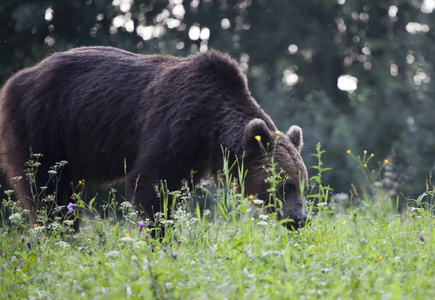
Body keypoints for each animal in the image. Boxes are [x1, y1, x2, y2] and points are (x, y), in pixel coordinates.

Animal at [0, 46, 310, 230]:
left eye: (303, 185)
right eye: (284, 185)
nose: (300, 218)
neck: (211, 129)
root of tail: (15, 79)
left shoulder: (194, 156)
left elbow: (175, 189)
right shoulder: (174, 124)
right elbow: (152, 184)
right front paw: (162, 235)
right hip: (43, 126)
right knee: (46, 189)